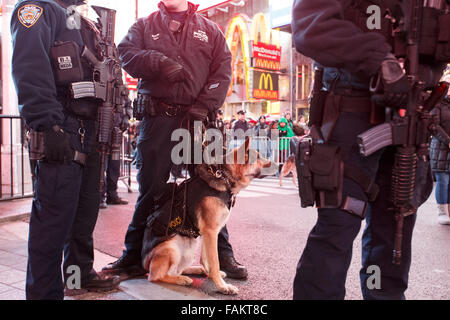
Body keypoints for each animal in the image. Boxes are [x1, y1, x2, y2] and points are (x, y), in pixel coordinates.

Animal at [142, 138, 272, 296]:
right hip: (171, 248)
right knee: (156, 276)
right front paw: (222, 286)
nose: (278, 164)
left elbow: (206, 258)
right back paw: (181, 279)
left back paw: (193, 271)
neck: (226, 177)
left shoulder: (208, 232)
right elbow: (215, 261)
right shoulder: (211, 231)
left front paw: (209, 273)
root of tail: (144, 265)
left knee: (177, 269)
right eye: (258, 157)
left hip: (191, 245)